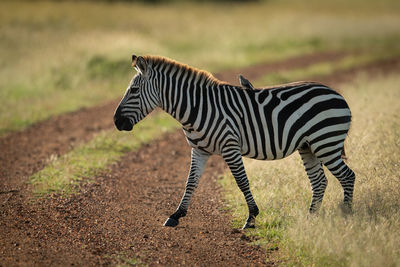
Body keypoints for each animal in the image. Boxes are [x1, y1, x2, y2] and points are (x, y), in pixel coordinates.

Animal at [114, 54, 354, 230]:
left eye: (134, 90)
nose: (116, 122)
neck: (197, 108)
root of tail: (337, 94)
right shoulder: (199, 150)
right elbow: (190, 182)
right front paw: (176, 215)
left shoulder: (230, 147)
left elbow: (242, 181)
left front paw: (251, 218)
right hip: (308, 147)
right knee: (319, 181)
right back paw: (311, 217)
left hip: (326, 142)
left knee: (347, 176)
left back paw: (347, 215)